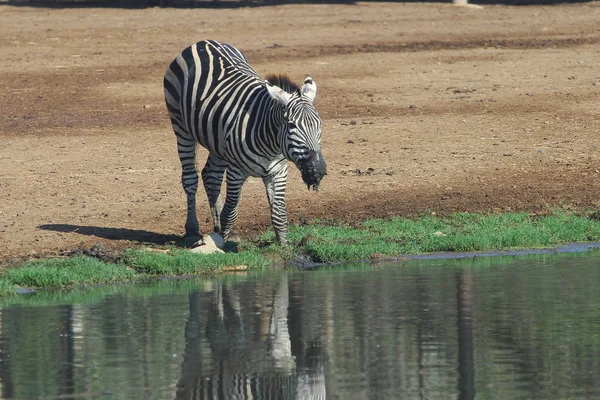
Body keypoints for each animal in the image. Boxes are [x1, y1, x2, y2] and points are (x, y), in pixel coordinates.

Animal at [162, 41, 326, 247]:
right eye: (291, 125)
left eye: (319, 125)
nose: (317, 170)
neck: (271, 147)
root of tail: (203, 42)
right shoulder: (235, 171)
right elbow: (231, 210)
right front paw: (222, 244)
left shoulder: (279, 172)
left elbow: (279, 212)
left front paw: (283, 245)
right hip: (180, 126)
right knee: (190, 177)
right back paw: (192, 229)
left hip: (217, 141)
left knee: (211, 175)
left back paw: (217, 228)